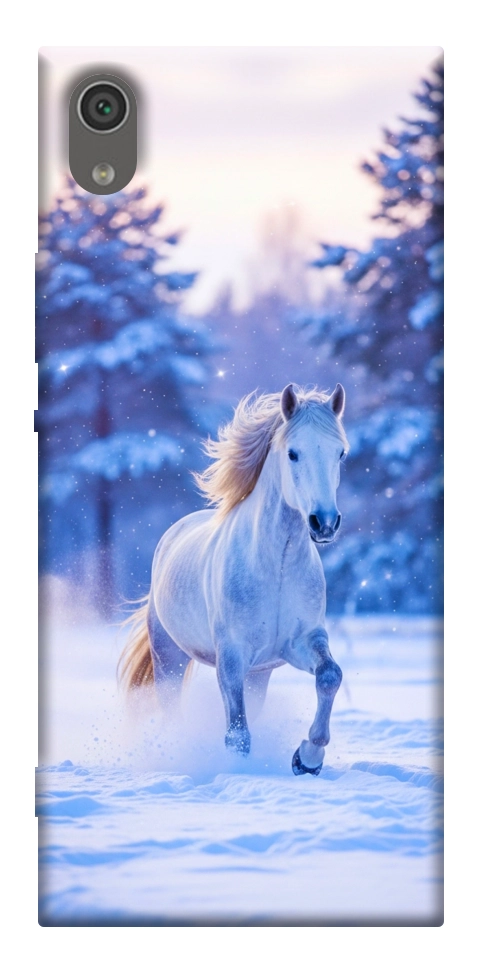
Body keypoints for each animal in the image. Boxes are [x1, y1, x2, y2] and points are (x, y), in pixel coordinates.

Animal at [119, 382, 349, 775]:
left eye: (340, 454)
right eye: (293, 453)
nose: (324, 523)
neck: (276, 567)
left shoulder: (301, 642)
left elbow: (330, 676)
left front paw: (307, 758)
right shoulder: (231, 656)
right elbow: (237, 734)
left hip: (259, 674)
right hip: (169, 658)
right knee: (171, 709)